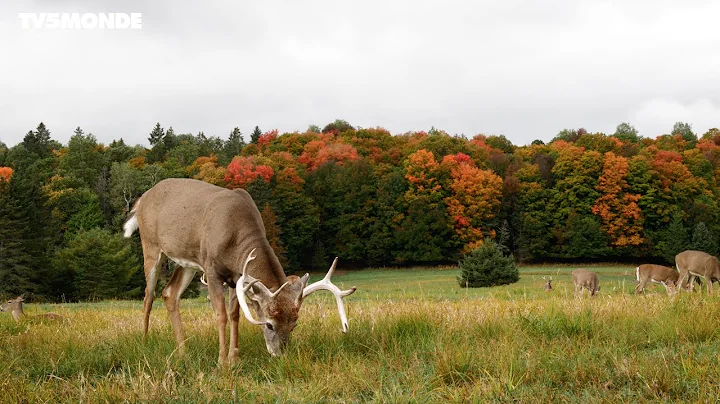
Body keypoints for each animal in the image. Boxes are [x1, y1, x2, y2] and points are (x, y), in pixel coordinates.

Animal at [126, 178, 358, 364]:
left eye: (294, 325)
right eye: (269, 325)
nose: (279, 354)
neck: (235, 233)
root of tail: (142, 199)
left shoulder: (238, 277)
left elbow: (235, 315)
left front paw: (234, 357)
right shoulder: (211, 269)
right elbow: (220, 315)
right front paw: (222, 362)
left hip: (186, 261)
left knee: (169, 293)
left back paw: (183, 352)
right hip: (151, 246)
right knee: (148, 295)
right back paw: (144, 341)